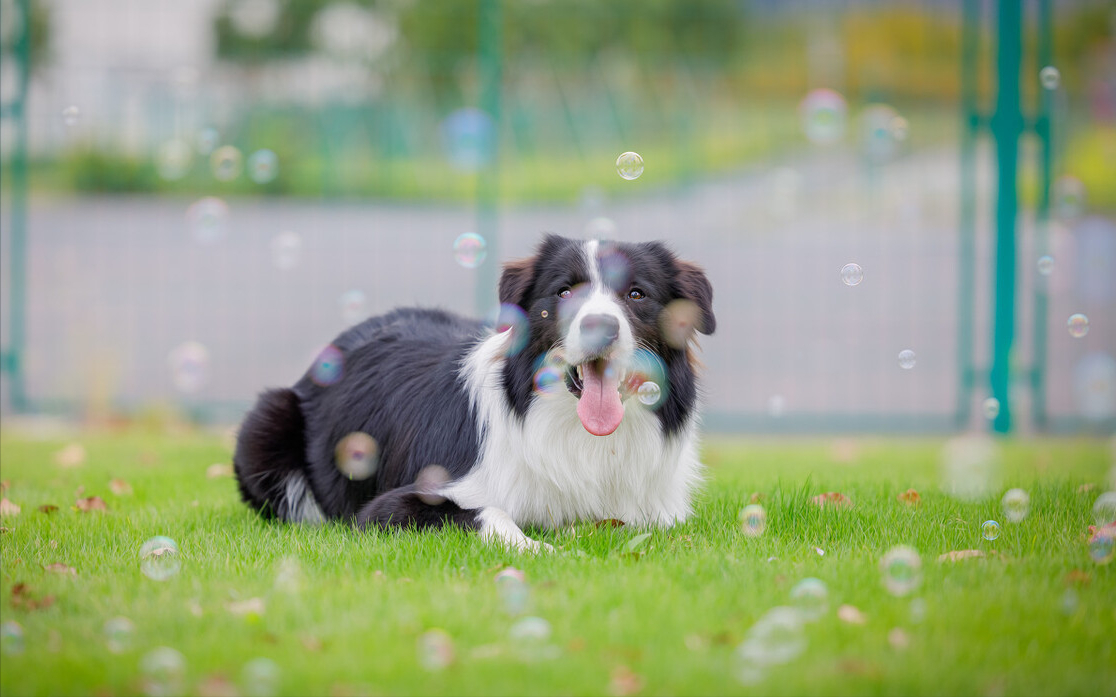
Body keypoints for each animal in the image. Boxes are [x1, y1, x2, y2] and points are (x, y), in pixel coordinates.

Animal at [234, 234, 714, 548]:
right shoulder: (391, 506)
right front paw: (539, 547)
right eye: (563, 292)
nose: (600, 326)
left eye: (636, 294)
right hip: (268, 419)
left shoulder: (655, 509)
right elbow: (488, 512)